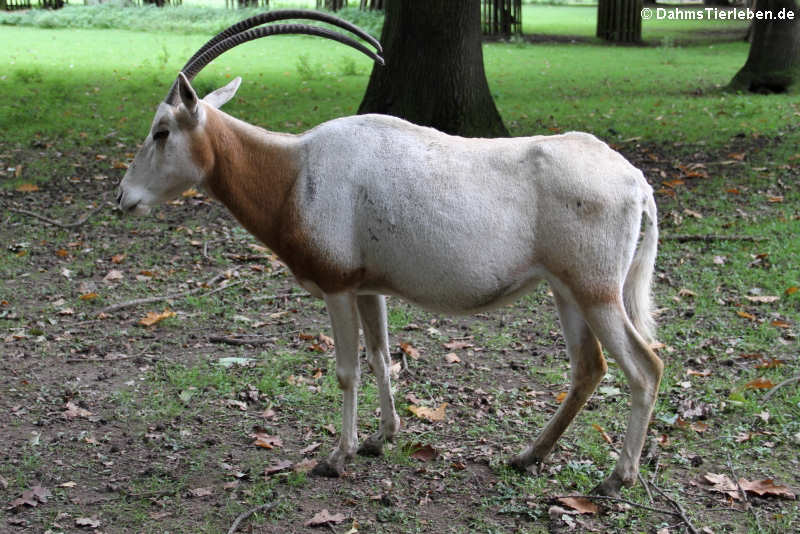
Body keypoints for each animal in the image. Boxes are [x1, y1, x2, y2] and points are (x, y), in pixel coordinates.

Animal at [117, 9, 664, 498]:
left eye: (161, 131)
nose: (123, 197)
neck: (294, 171)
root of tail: (635, 181)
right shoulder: (367, 288)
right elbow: (381, 356)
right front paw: (381, 439)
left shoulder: (337, 287)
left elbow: (347, 370)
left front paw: (336, 456)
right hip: (565, 290)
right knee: (588, 368)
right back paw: (528, 456)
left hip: (597, 293)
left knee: (645, 367)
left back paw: (616, 479)